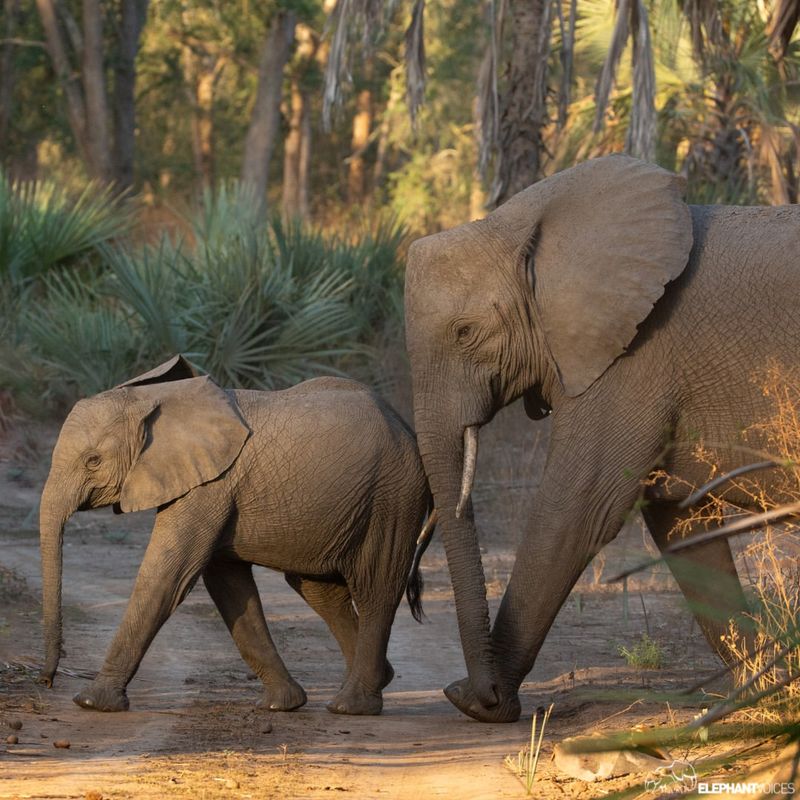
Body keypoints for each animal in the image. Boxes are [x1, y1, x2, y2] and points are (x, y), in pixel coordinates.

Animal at [39, 354, 434, 716]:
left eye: (92, 461)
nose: (48, 681)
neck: (155, 399)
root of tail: (407, 428)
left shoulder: (211, 486)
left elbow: (169, 576)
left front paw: (92, 702)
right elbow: (227, 585)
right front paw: (282, 705)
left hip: (392, 497)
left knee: (375, 588)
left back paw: (351, 707)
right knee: (319, 591)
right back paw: (379, 678)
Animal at [406, 156, 800, 724]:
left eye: (465, 333)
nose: (477, 691)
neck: (520, 224)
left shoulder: (635, 359)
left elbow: (577, 509)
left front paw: (478, 706)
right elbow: (681, 522)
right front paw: (760, 690)